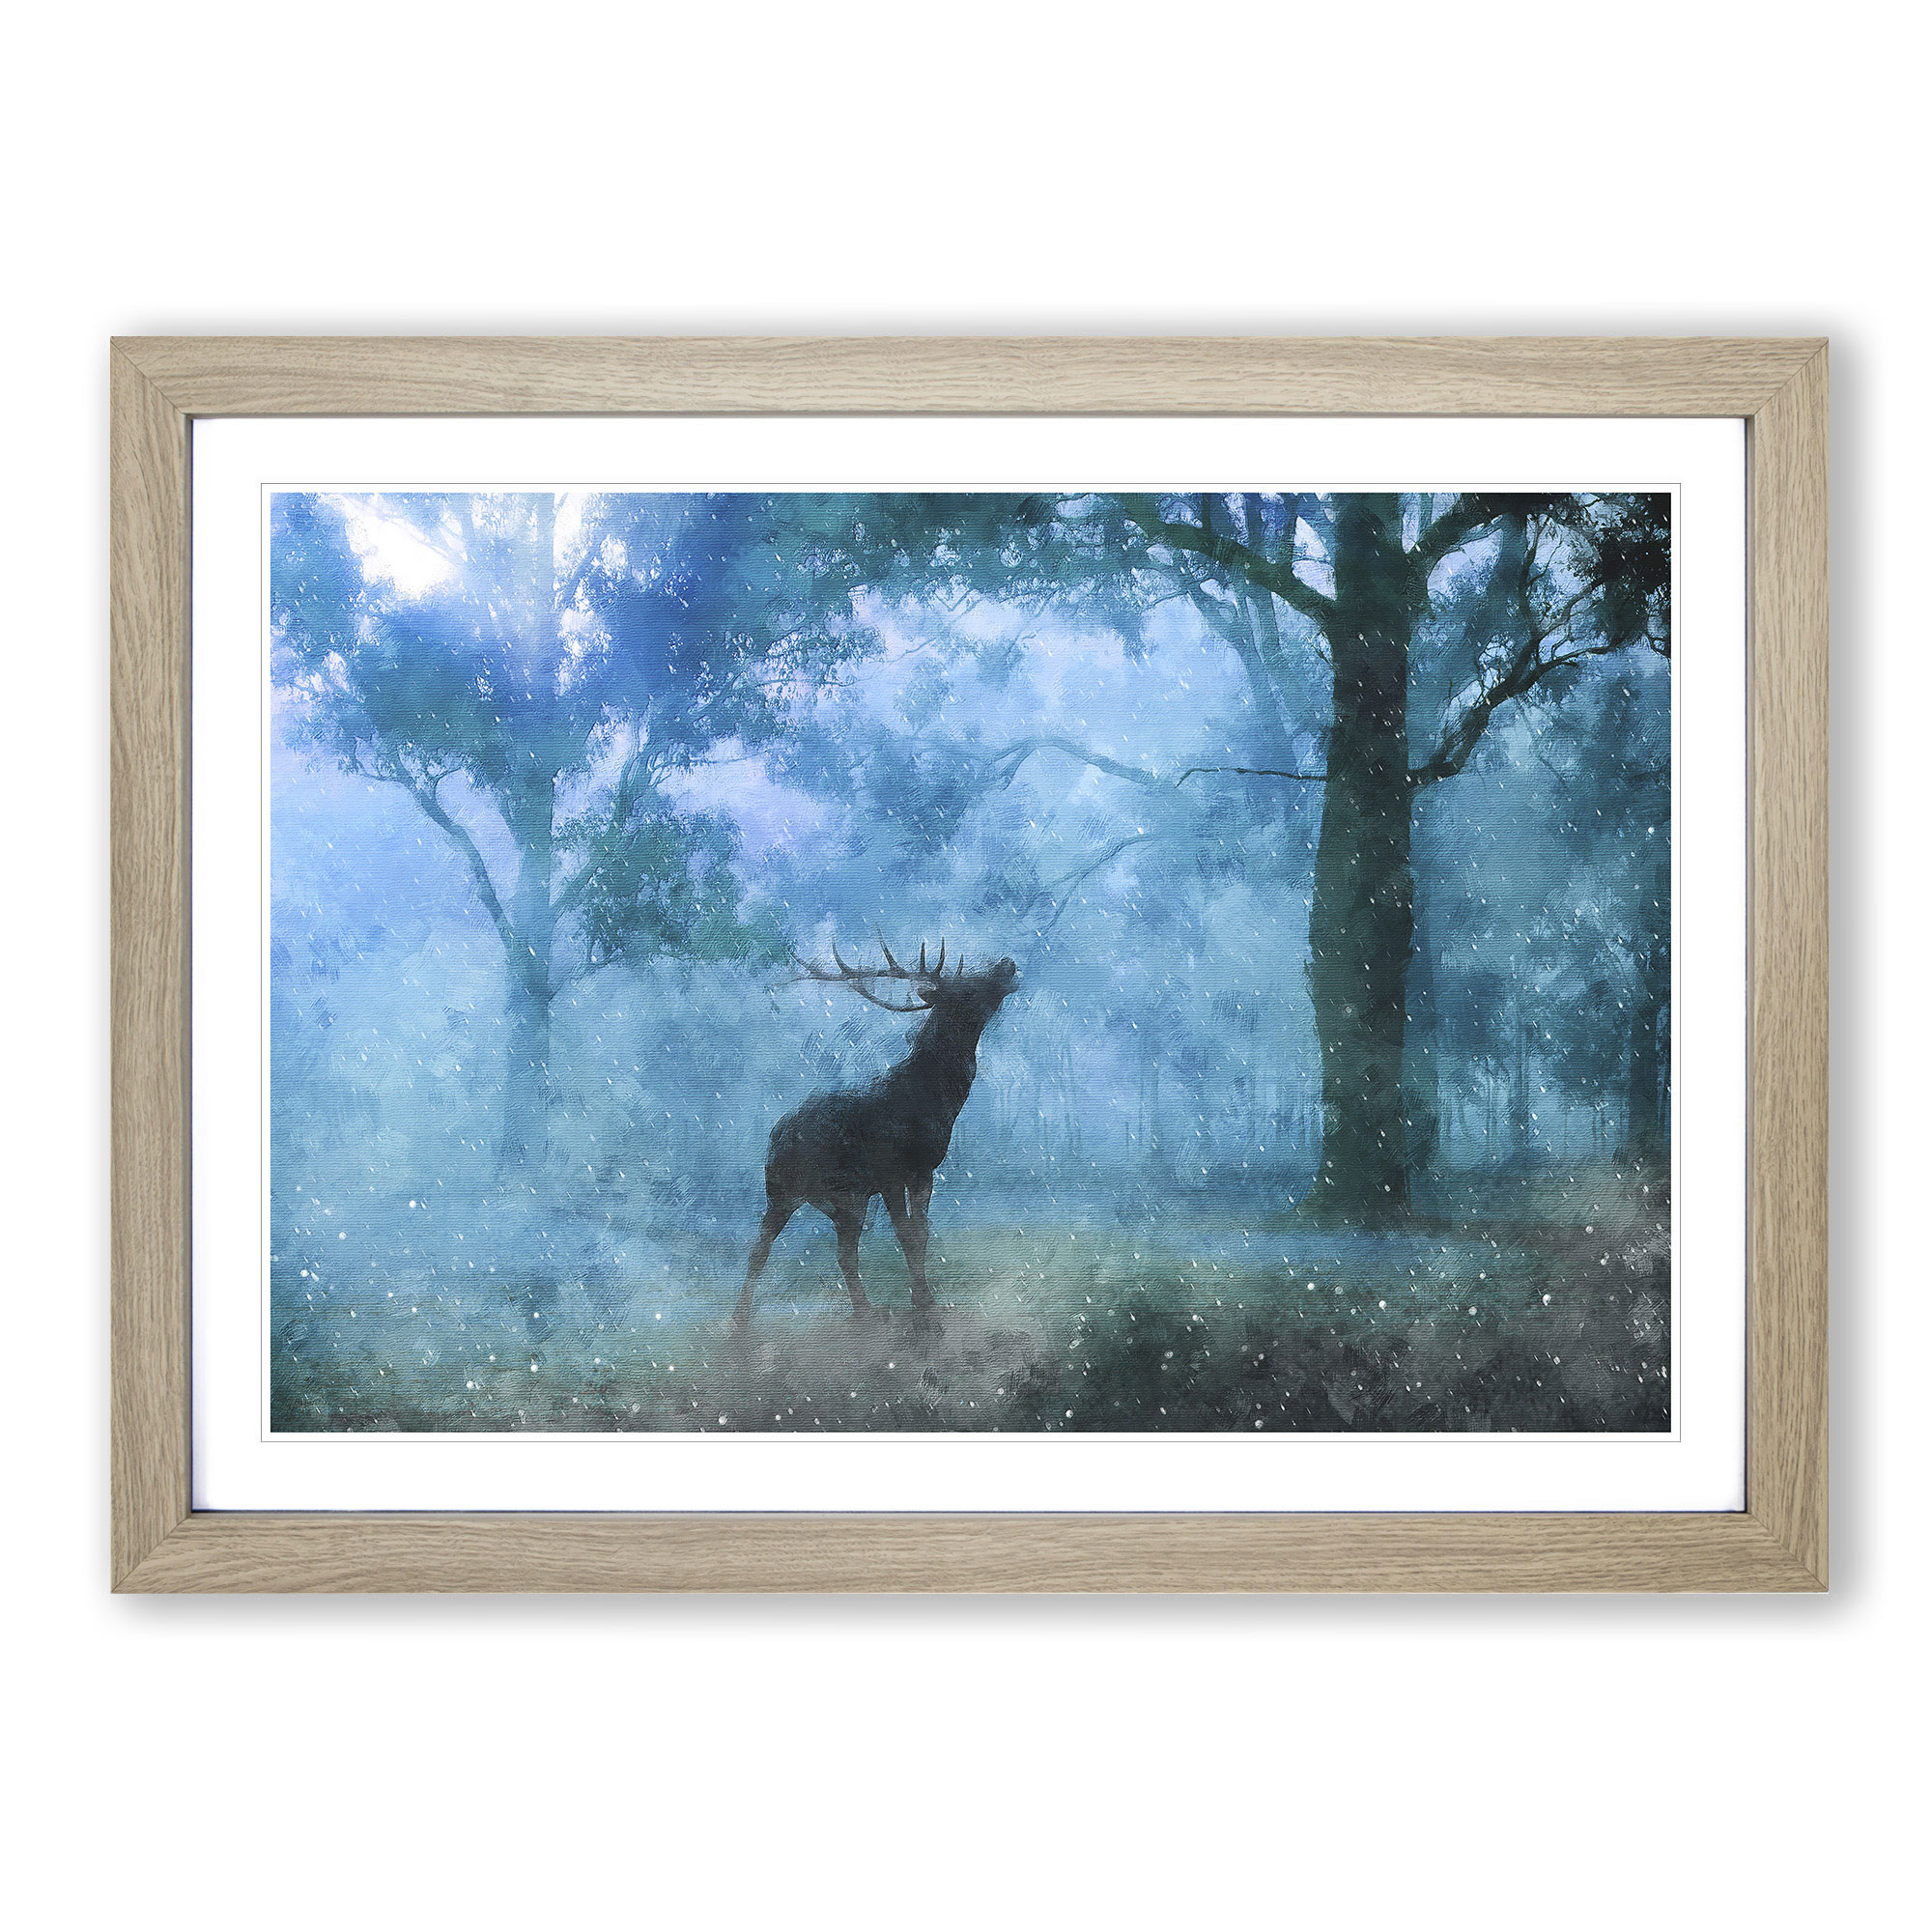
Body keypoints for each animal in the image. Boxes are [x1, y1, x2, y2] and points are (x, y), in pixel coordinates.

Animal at [733, 939, 1020, 1327]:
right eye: (967, 987)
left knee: (820, 1251)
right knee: (781, 1249)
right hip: (799, 1190)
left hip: (826, 1197)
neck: (938, 1100)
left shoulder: (923, 1171)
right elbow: (907, 1235)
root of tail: (777, 1135)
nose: (1006, 962)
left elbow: (922, 1232)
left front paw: (922, 1300)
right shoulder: (891, 1171)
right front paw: (924, 1306)